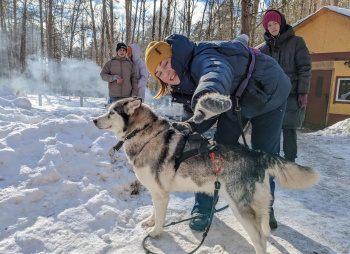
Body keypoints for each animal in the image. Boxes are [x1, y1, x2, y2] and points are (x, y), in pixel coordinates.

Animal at [93, 96, 320, 254]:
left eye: (111, 113)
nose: (94, 120)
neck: (145, 135)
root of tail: (257, 154)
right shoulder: (156, 191)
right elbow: (154, 212)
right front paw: (150, 221)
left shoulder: (162, 194)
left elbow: (160, 219)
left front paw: (155, 233)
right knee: (264, 231)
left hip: (241, 209)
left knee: (260, 240)